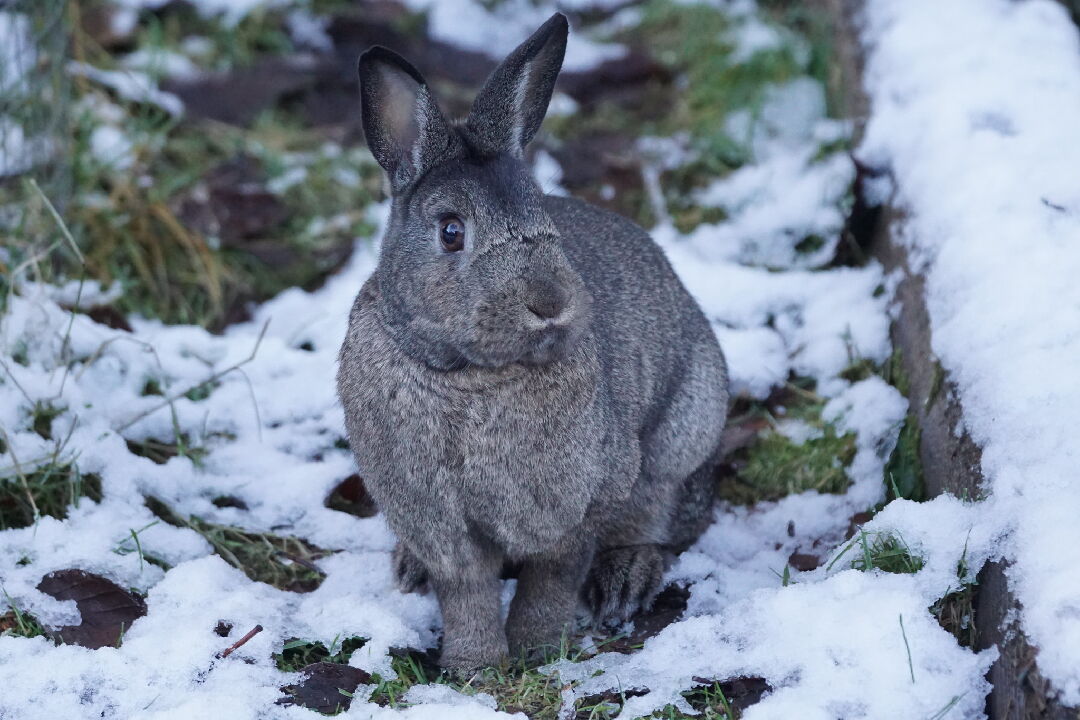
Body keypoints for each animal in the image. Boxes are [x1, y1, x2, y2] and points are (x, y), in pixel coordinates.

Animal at [336, 12, 725, 677]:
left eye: (542, 215)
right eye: (451, 232)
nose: (549, 302)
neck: (468, 373)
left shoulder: (580, 500)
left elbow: (553, 576)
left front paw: (537, 650)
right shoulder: (439, 519)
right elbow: (465, 589)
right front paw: (473, 667)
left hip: (681, 433)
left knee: (656, 511)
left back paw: (626, 577)